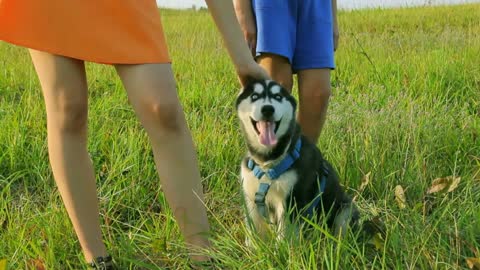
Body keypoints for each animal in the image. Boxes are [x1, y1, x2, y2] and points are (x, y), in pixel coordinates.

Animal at [234, 78, 358, 240]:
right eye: (254, 96)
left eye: (278, 97)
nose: (268, 109)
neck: (266, 163)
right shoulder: (251, 199)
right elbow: (254, 237)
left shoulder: (292, 201)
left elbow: (285, 237)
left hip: (346, 209)